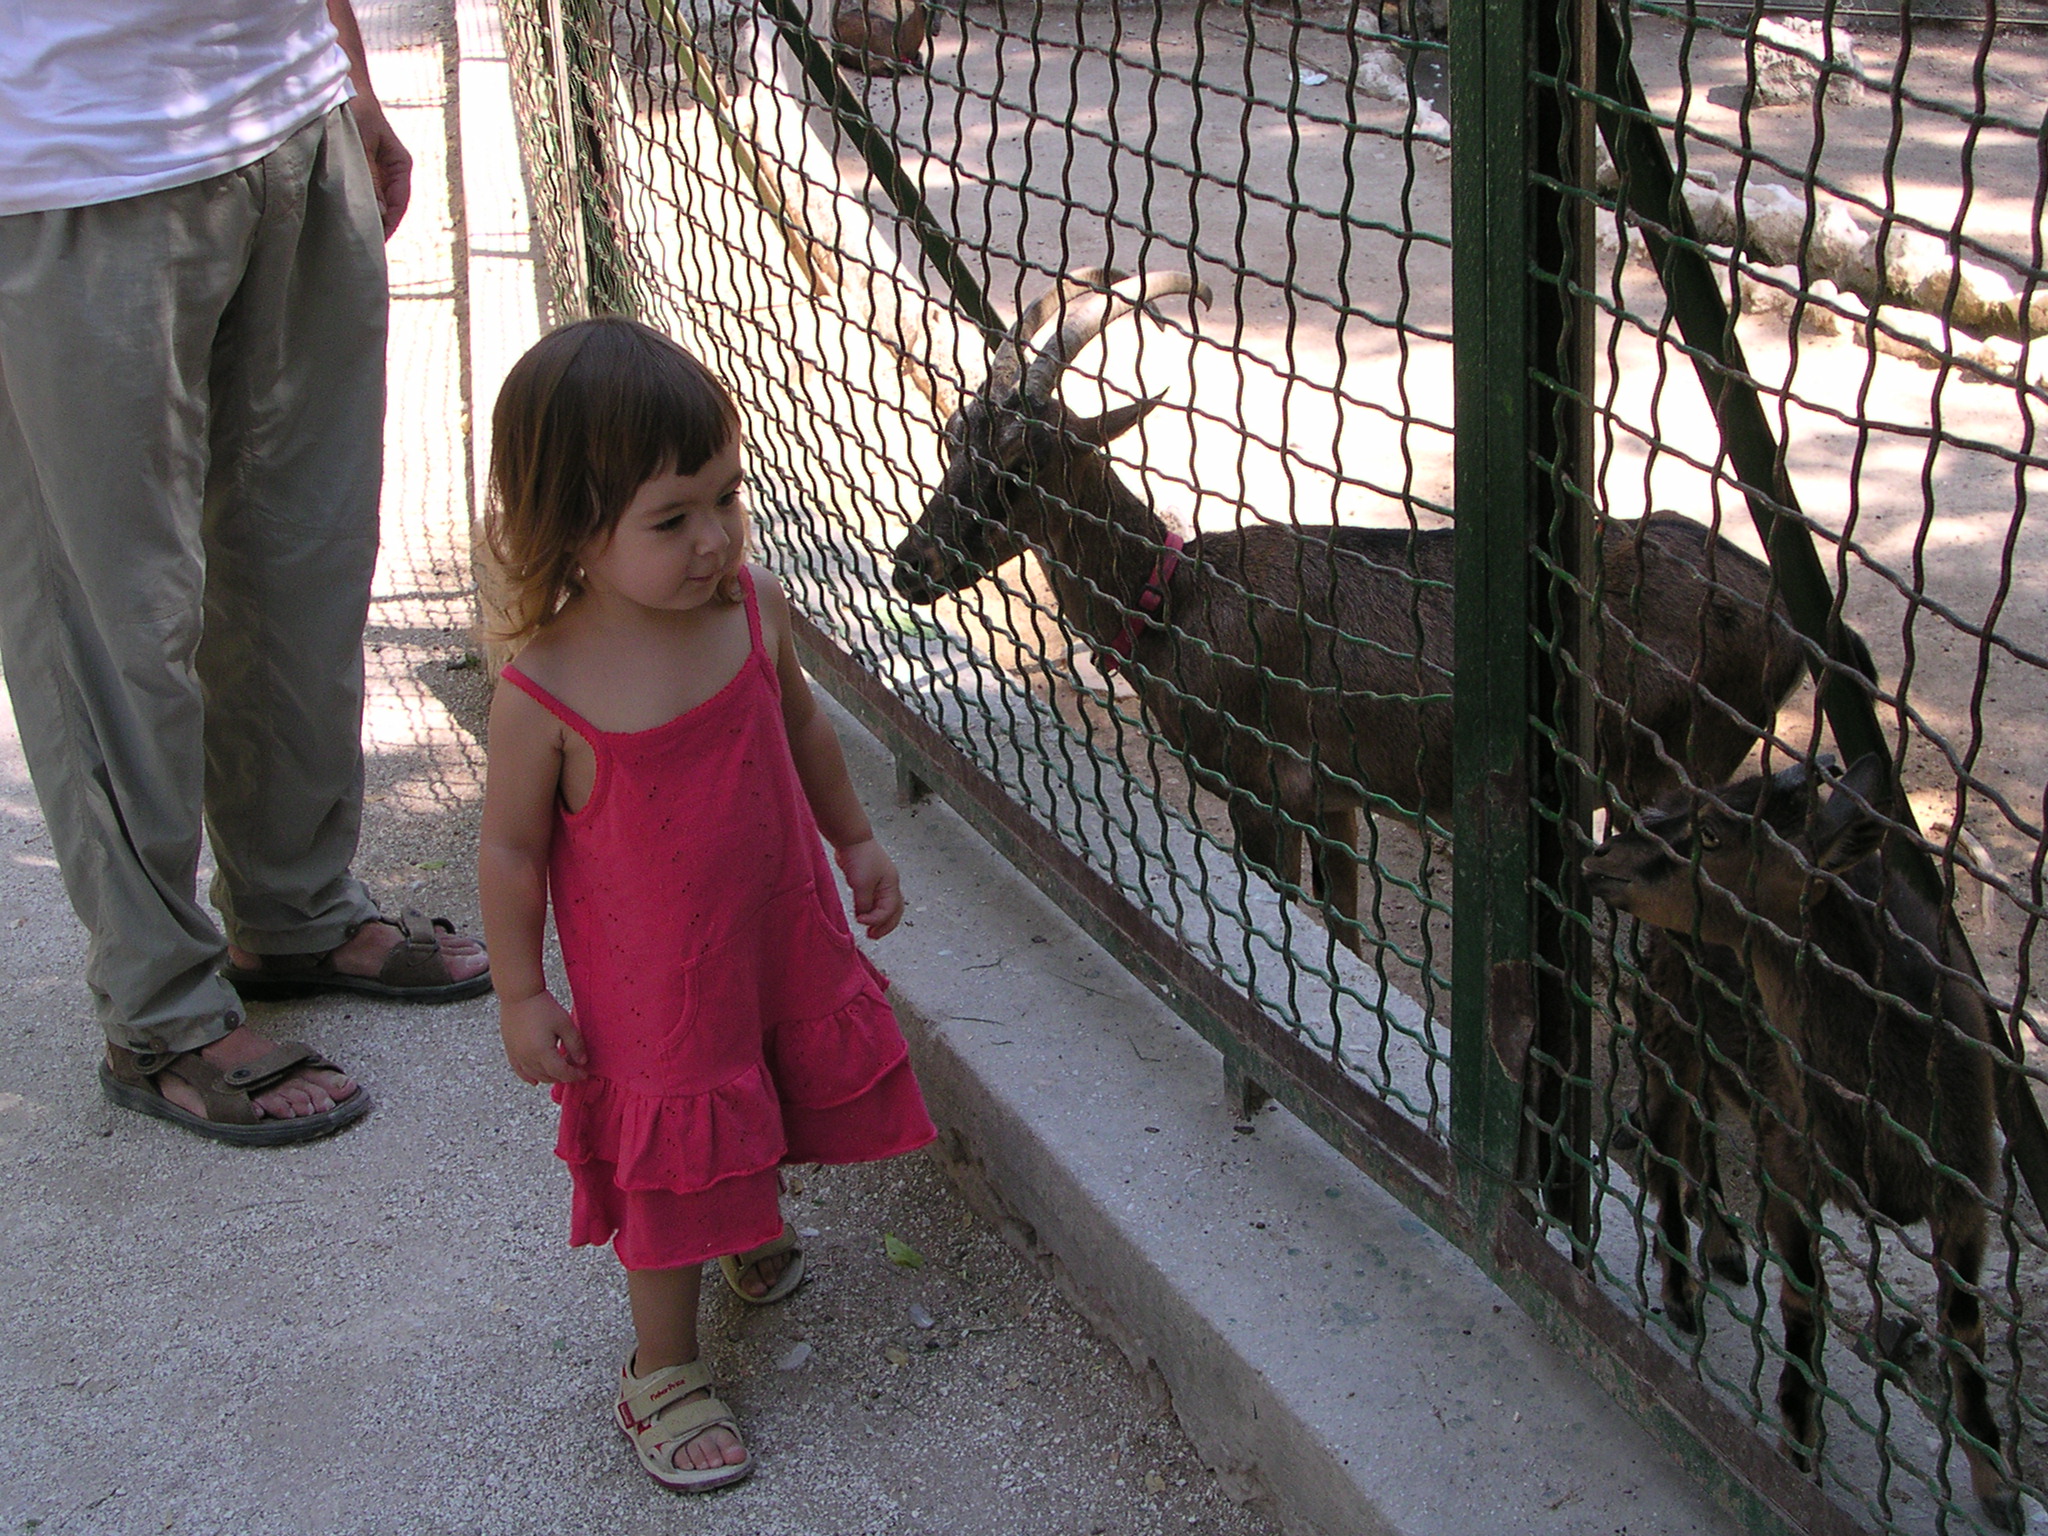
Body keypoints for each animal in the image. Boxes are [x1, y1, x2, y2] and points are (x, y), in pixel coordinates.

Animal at [891, 267, 1814, 954]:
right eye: (952, 437)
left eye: (1019, 468)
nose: (912, 565)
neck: (1174, 607)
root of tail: (1793, 627)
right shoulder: (1335, 798)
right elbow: (1344, 933)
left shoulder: (1261, 784)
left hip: (1673, 768)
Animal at [1583, 756, 2015, 1529]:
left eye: (1712, 833)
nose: (1600, 858)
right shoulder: (1791, 1158)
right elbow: (1801, 1301)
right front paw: (1797, 1440)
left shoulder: (1967, 1183)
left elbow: (1965, 1325)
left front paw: (1998, 1492)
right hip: (1670, 1009)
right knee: (1668, 1130)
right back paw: (1682, 1289)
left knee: (1698, 1127)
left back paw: (1724, 1243)